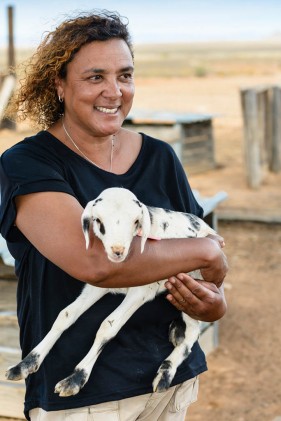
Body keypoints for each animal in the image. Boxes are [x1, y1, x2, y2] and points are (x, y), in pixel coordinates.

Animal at [6, 188, 217, 398]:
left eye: (136, 221)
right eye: (98, 221)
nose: (118, 251)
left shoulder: (140, 292)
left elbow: (108, 326)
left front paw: (75, 378)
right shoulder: (98, 285)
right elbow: (65, 315)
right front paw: (25, 364)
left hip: (192, 290)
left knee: (193, 333)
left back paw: (165, 373)